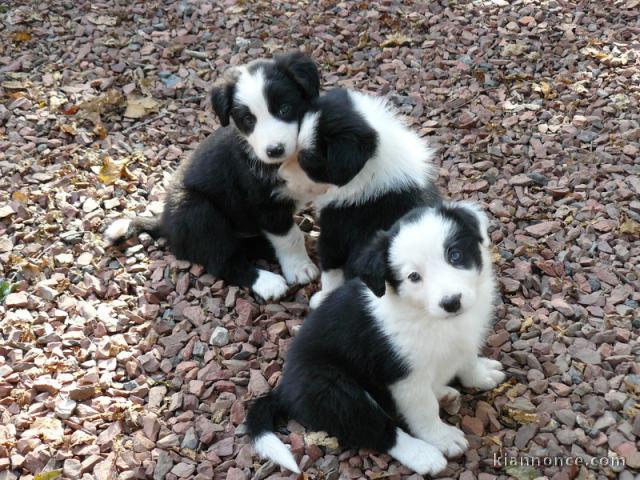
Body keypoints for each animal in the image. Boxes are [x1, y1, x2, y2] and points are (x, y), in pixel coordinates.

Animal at [108, 52, 324, 300]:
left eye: (285, 108)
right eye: (248, 120)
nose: (274, 150)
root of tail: (164, 223)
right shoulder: (265, 205)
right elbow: (290, 237)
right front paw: (300, 268)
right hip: (197, 210)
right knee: (222, 260)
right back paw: (267, 282)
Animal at [245, 201, 504, 474]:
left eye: (454, 255)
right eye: (413, 277)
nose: (452, 302)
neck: (427, 316)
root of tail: (284, 389)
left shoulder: (465, 338)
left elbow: (468, 360)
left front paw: (481, 375)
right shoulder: (404, 377)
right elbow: (424, 410)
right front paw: (442, 438)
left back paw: (443, 392)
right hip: (333, 389)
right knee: (377, 429)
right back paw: (423, 455)